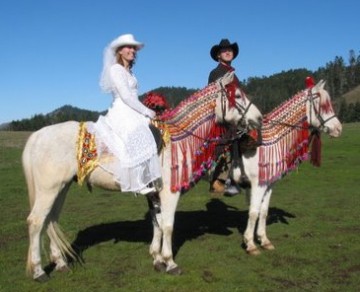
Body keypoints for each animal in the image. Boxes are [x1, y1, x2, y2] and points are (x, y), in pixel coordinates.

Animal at [23, 72, 262, 282]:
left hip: (60, 188)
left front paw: (157, 258)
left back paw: (60, 263)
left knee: (50, 220)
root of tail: (37, 136)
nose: (259, 118)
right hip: (49, 189)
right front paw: (170, 262)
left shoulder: (154, 194)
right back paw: (39, 271)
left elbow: (157, 224)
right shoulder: (169, 194)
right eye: (237, 95)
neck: (177, 139)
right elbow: (168, 225)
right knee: (36, 222)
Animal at [228, 80, 344, 256]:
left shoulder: (268, 185)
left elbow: (263, 211)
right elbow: (253, 212)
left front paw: (264, 240)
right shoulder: (257, 185)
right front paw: (250, 244)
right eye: (323, 105)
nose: (339, 129)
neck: (267, 143)